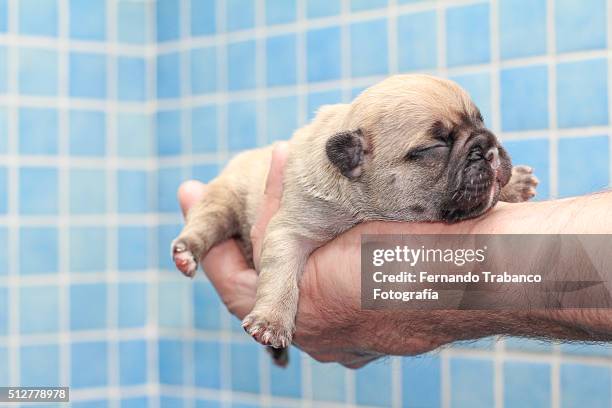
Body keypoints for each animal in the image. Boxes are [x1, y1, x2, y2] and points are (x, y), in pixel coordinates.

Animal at [170, 74, 536, 366]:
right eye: (434, 146)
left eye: (481, 122)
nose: (490, 147)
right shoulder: (290, 230)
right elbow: (281, 274)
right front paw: (272, 320)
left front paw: (514, 183)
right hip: (224, 200)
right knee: (205, 224)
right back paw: (187, 252)